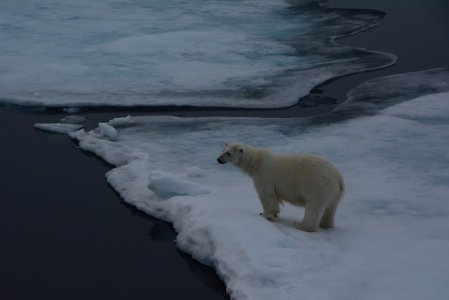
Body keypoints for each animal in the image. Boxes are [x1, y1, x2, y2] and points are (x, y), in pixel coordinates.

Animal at [216, 143, 344, 232]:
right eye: (223, 150)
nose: (218, 159)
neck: (256, 162)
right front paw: (272, 214)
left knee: (314, 207)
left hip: (318, 185)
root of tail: (337, 176)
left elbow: (266, 196)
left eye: (228, 153)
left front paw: (265, 215)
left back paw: (301, 225)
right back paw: (326, 225)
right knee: (330, 209)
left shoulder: (264, 175)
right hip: (333, 192)